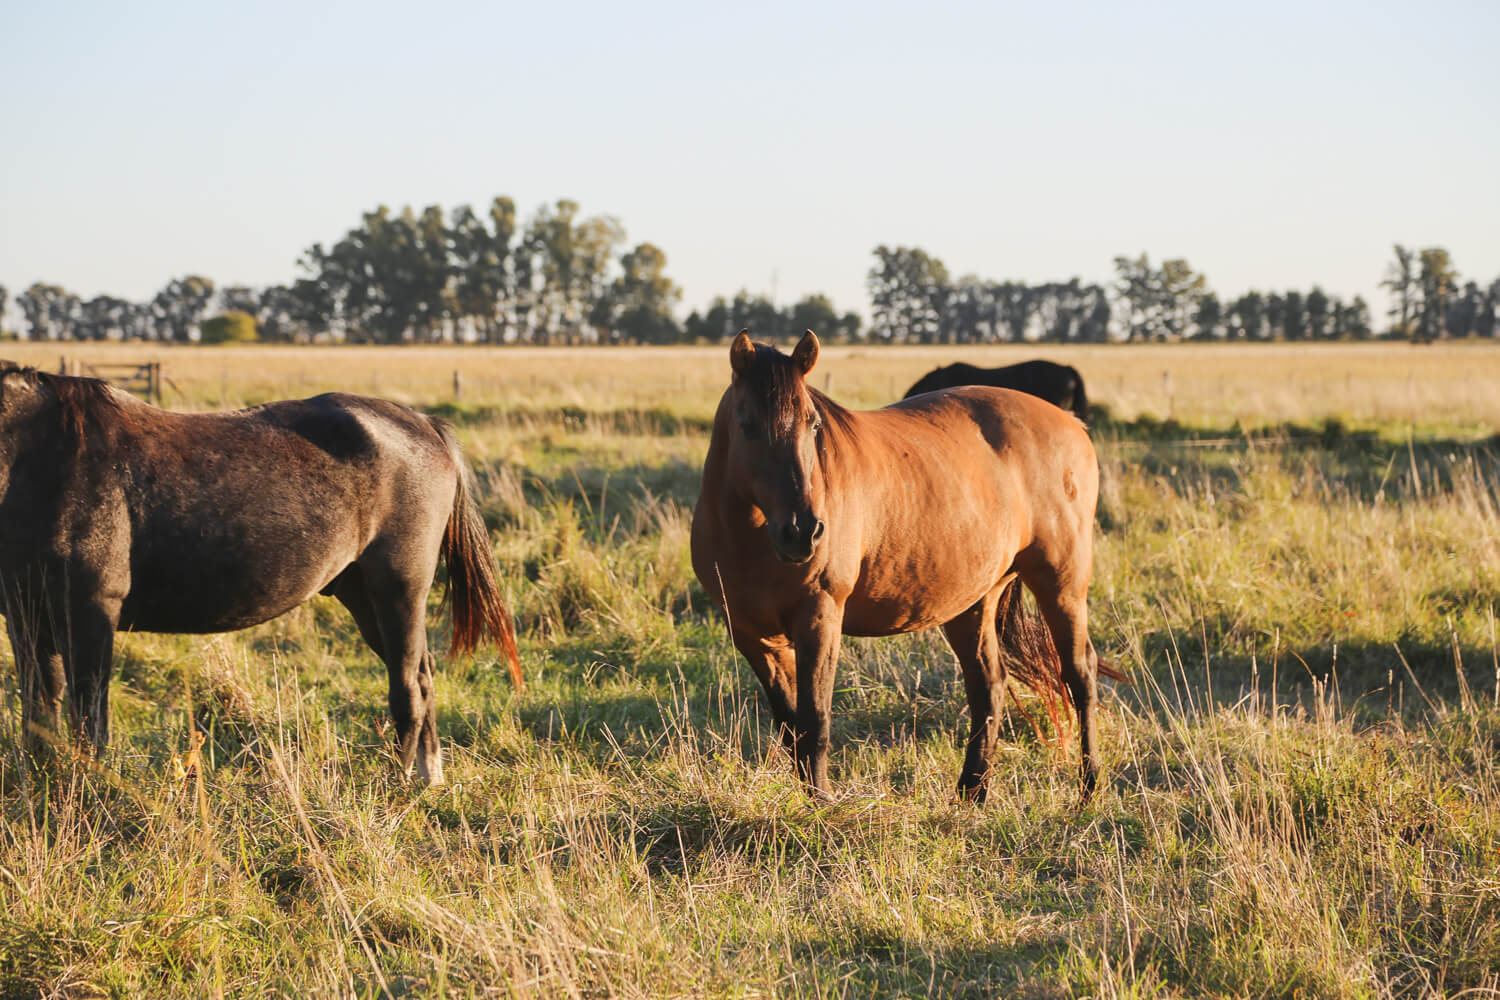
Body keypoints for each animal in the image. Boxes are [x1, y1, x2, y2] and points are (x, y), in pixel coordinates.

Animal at [0, 364, 519, 785]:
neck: (35, 459)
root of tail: (424, 425)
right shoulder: (27, 618)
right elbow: (39, 715)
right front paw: (43, 790)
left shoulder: (90, 613)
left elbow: (89, 722)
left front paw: (84, 797)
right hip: (363, 597)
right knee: (421, 675)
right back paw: (429, 777)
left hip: (399, 589)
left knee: (408, 687)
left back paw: (398, 786)